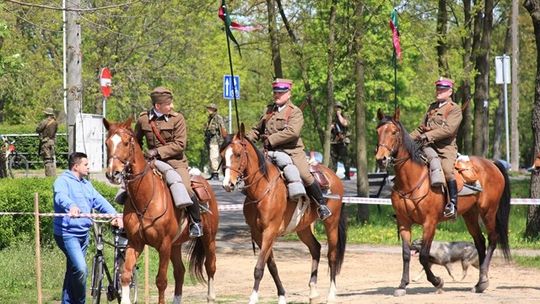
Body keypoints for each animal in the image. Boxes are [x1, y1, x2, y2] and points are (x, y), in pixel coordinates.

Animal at [102, 119, 218, 304]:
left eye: (126, 143)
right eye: (107, 143)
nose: (113, 173)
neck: (145, 199)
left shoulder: (163, 245)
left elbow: (161, 281)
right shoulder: (135, 243)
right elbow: (126, 275)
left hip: (209, 238)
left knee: (210, 267)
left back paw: (210, 297)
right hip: (176, 245)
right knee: (179, 271)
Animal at [221, 124, 348, 304]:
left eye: (238, 154)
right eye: (222, 155)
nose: (227, 184)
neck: (263, 189)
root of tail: (334, 177)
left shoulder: (269, 232)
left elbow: (259, 267)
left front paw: (253, 298)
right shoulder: (258, 234)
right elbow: (271, 266)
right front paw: (281, 295)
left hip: (331, 223)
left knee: (332, 255)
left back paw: (331, 294)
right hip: (303, 228)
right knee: (315, 248)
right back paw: (312, 292)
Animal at [376, 108, 510, 296]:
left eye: (394, 132)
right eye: (378, 131)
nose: (381, 158)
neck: (411, 180)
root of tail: (491, 163)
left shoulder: (430, 223)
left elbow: (424, 256)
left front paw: (437, 281)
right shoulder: (403, 223)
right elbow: (406, 254)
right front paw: (402, 285)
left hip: (488, 211)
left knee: (492, 239)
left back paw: (483, 280)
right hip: (470, 215)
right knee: (480, 242)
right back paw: (479, 283)